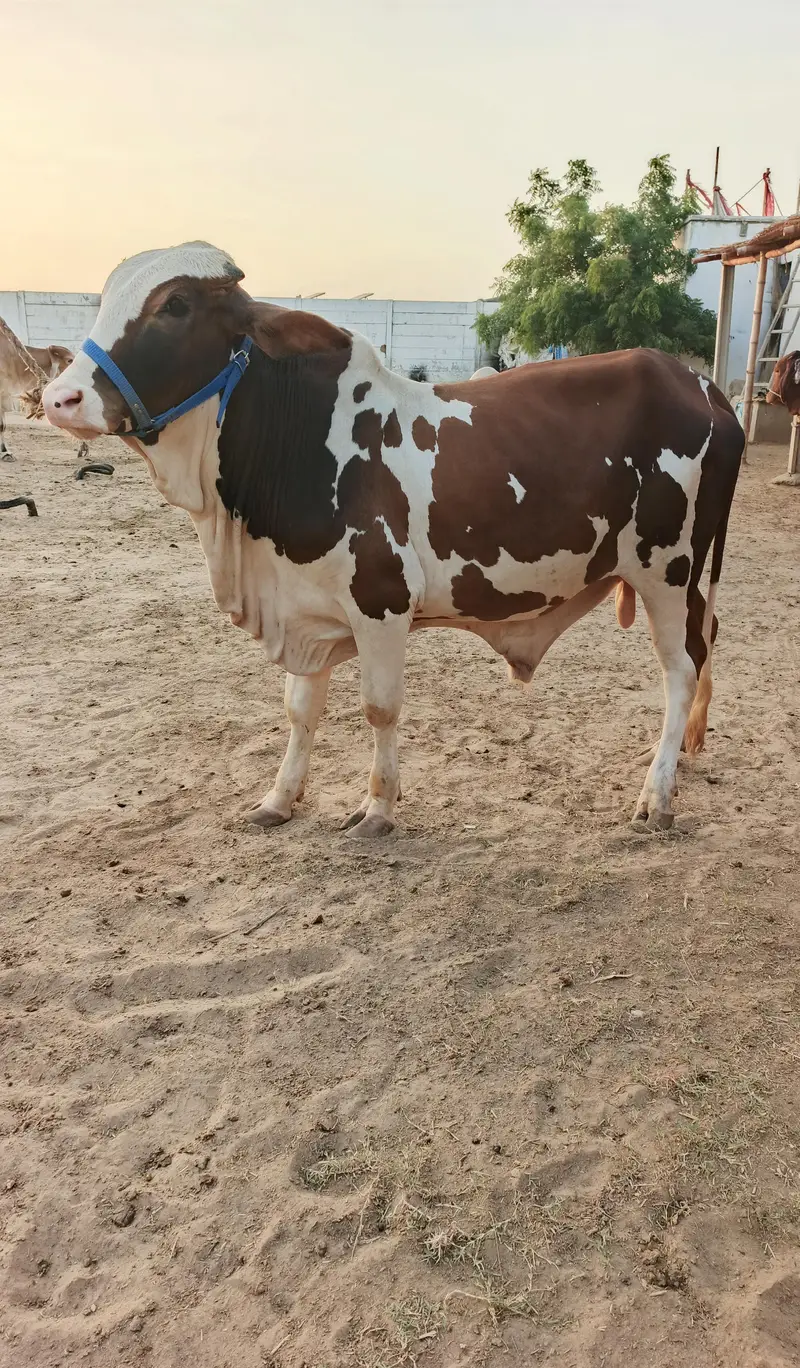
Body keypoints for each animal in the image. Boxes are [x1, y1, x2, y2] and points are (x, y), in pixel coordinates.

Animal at [43, 242, 744, 838]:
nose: (59, 397)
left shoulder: (380, 603)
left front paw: (378, 807)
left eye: (176, 305)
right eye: (105, 298)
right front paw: (279, 798)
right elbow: (300, 709)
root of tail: (703, 387)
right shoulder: (307, 607)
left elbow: (378, 708)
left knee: (682, 669)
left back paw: (656, 793)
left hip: (669, 572)